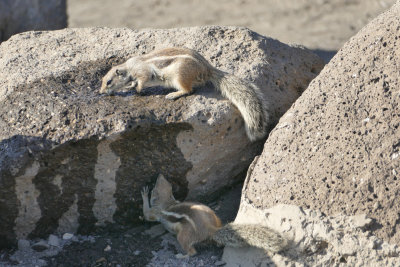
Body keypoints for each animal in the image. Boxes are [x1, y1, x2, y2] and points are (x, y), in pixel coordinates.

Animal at [100, 47, 270, 142]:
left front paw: (138, 89)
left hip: (179, 76)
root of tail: (207, 69)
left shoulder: (143, 72)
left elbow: (143, 80)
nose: (101, 92)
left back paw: (173, 94)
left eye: (109, 81)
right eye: (102, 80)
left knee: (188, 90)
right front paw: (132, 85)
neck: (129, 68)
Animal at [141, 175, 288, 258]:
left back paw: (181, 256)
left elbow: (147, 214)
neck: (166, 202)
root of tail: (210, 228)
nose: (160, 174)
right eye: (166, 183)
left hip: (183, 236)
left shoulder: (155, 212)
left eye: (154, 187)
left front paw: (144, 194)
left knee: (191, 251)